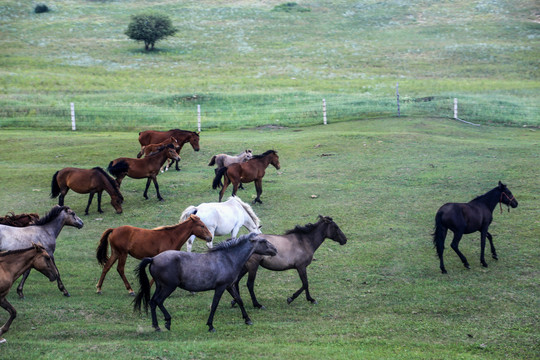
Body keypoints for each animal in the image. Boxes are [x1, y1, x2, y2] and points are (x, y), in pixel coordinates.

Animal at [134, 233, 278, 332]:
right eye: (263, 241)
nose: (275, 250)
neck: (228, 259)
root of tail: (153, 259)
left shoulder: (230, 286)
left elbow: (239, 300)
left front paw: (248, 320)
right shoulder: (220, 287)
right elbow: (214, 305)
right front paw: (210, 326)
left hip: (160, 286)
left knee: (153, 302)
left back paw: (156, 326)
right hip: (168, 287)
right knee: (159, 301)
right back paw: (167, 322)